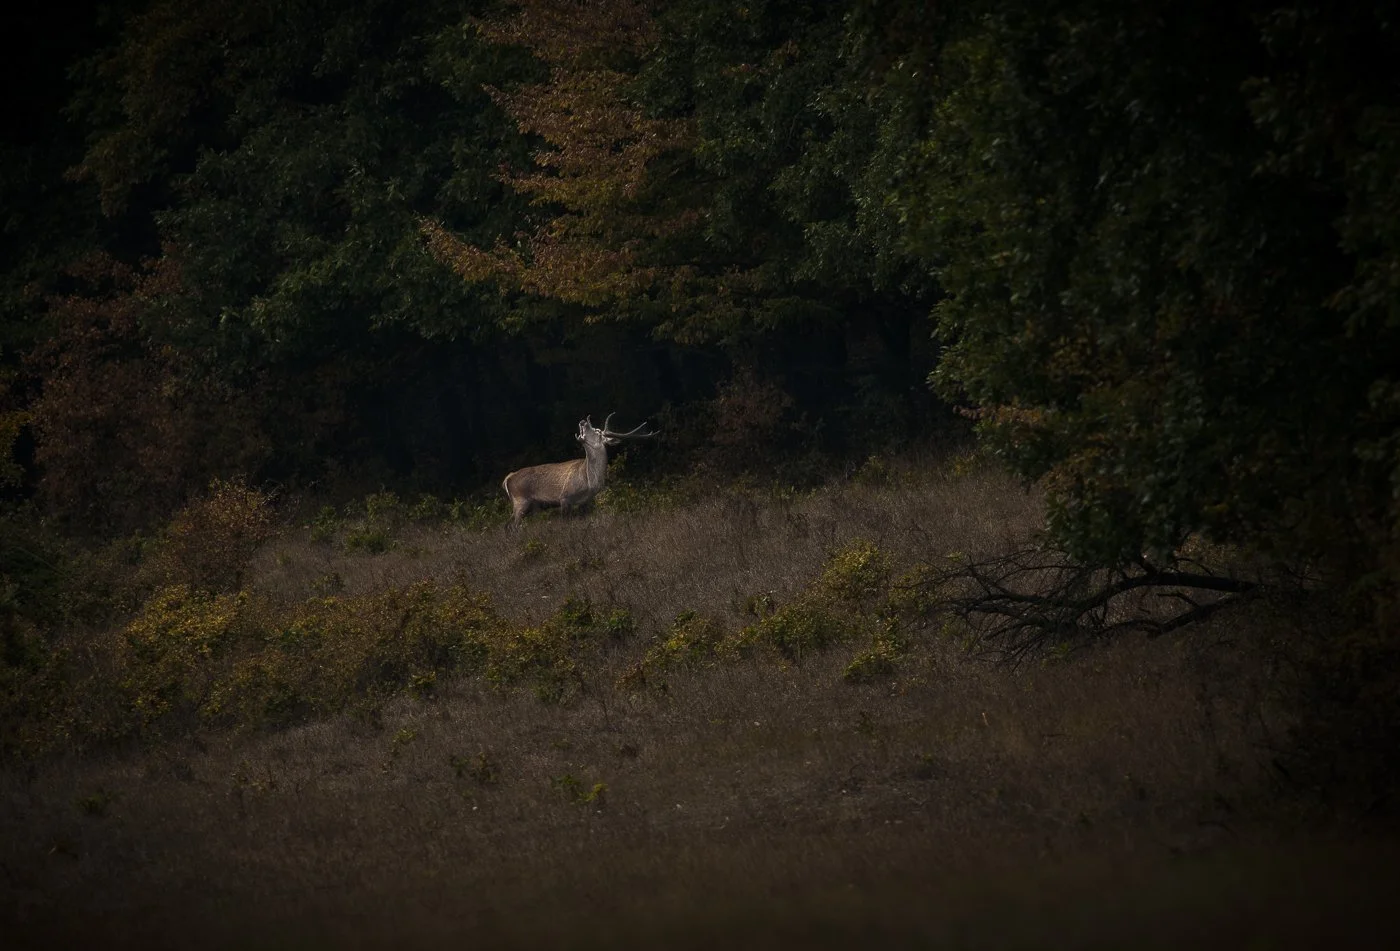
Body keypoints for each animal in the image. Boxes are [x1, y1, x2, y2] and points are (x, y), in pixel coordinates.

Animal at [502, 414, 655, 528]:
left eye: (597, 431)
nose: (583, 421)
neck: (589, 481)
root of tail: (508, 478)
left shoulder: (585, 502)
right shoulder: (564, 497)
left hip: (531, 506)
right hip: (520, 500)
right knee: (511, 525)